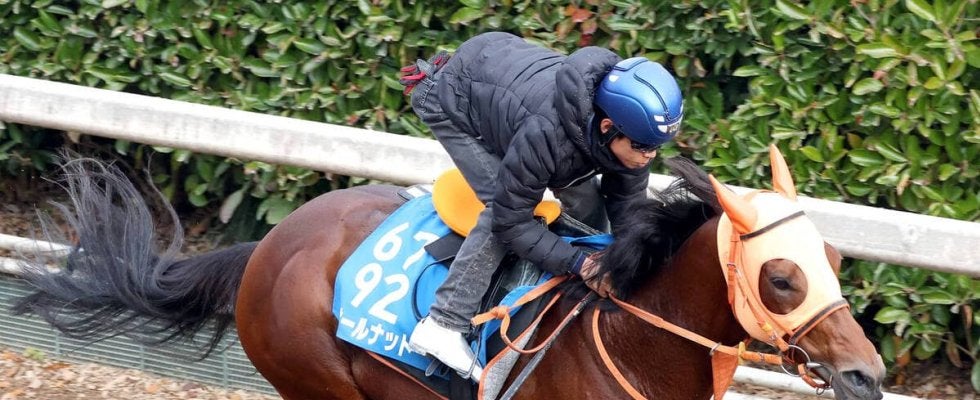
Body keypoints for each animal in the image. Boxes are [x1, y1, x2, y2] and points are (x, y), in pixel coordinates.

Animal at [11, 146, 885, 400]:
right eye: (782, 277)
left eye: (835, 260)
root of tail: (268, 247)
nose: (867, 374)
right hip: (318, 381)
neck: (636, 347)